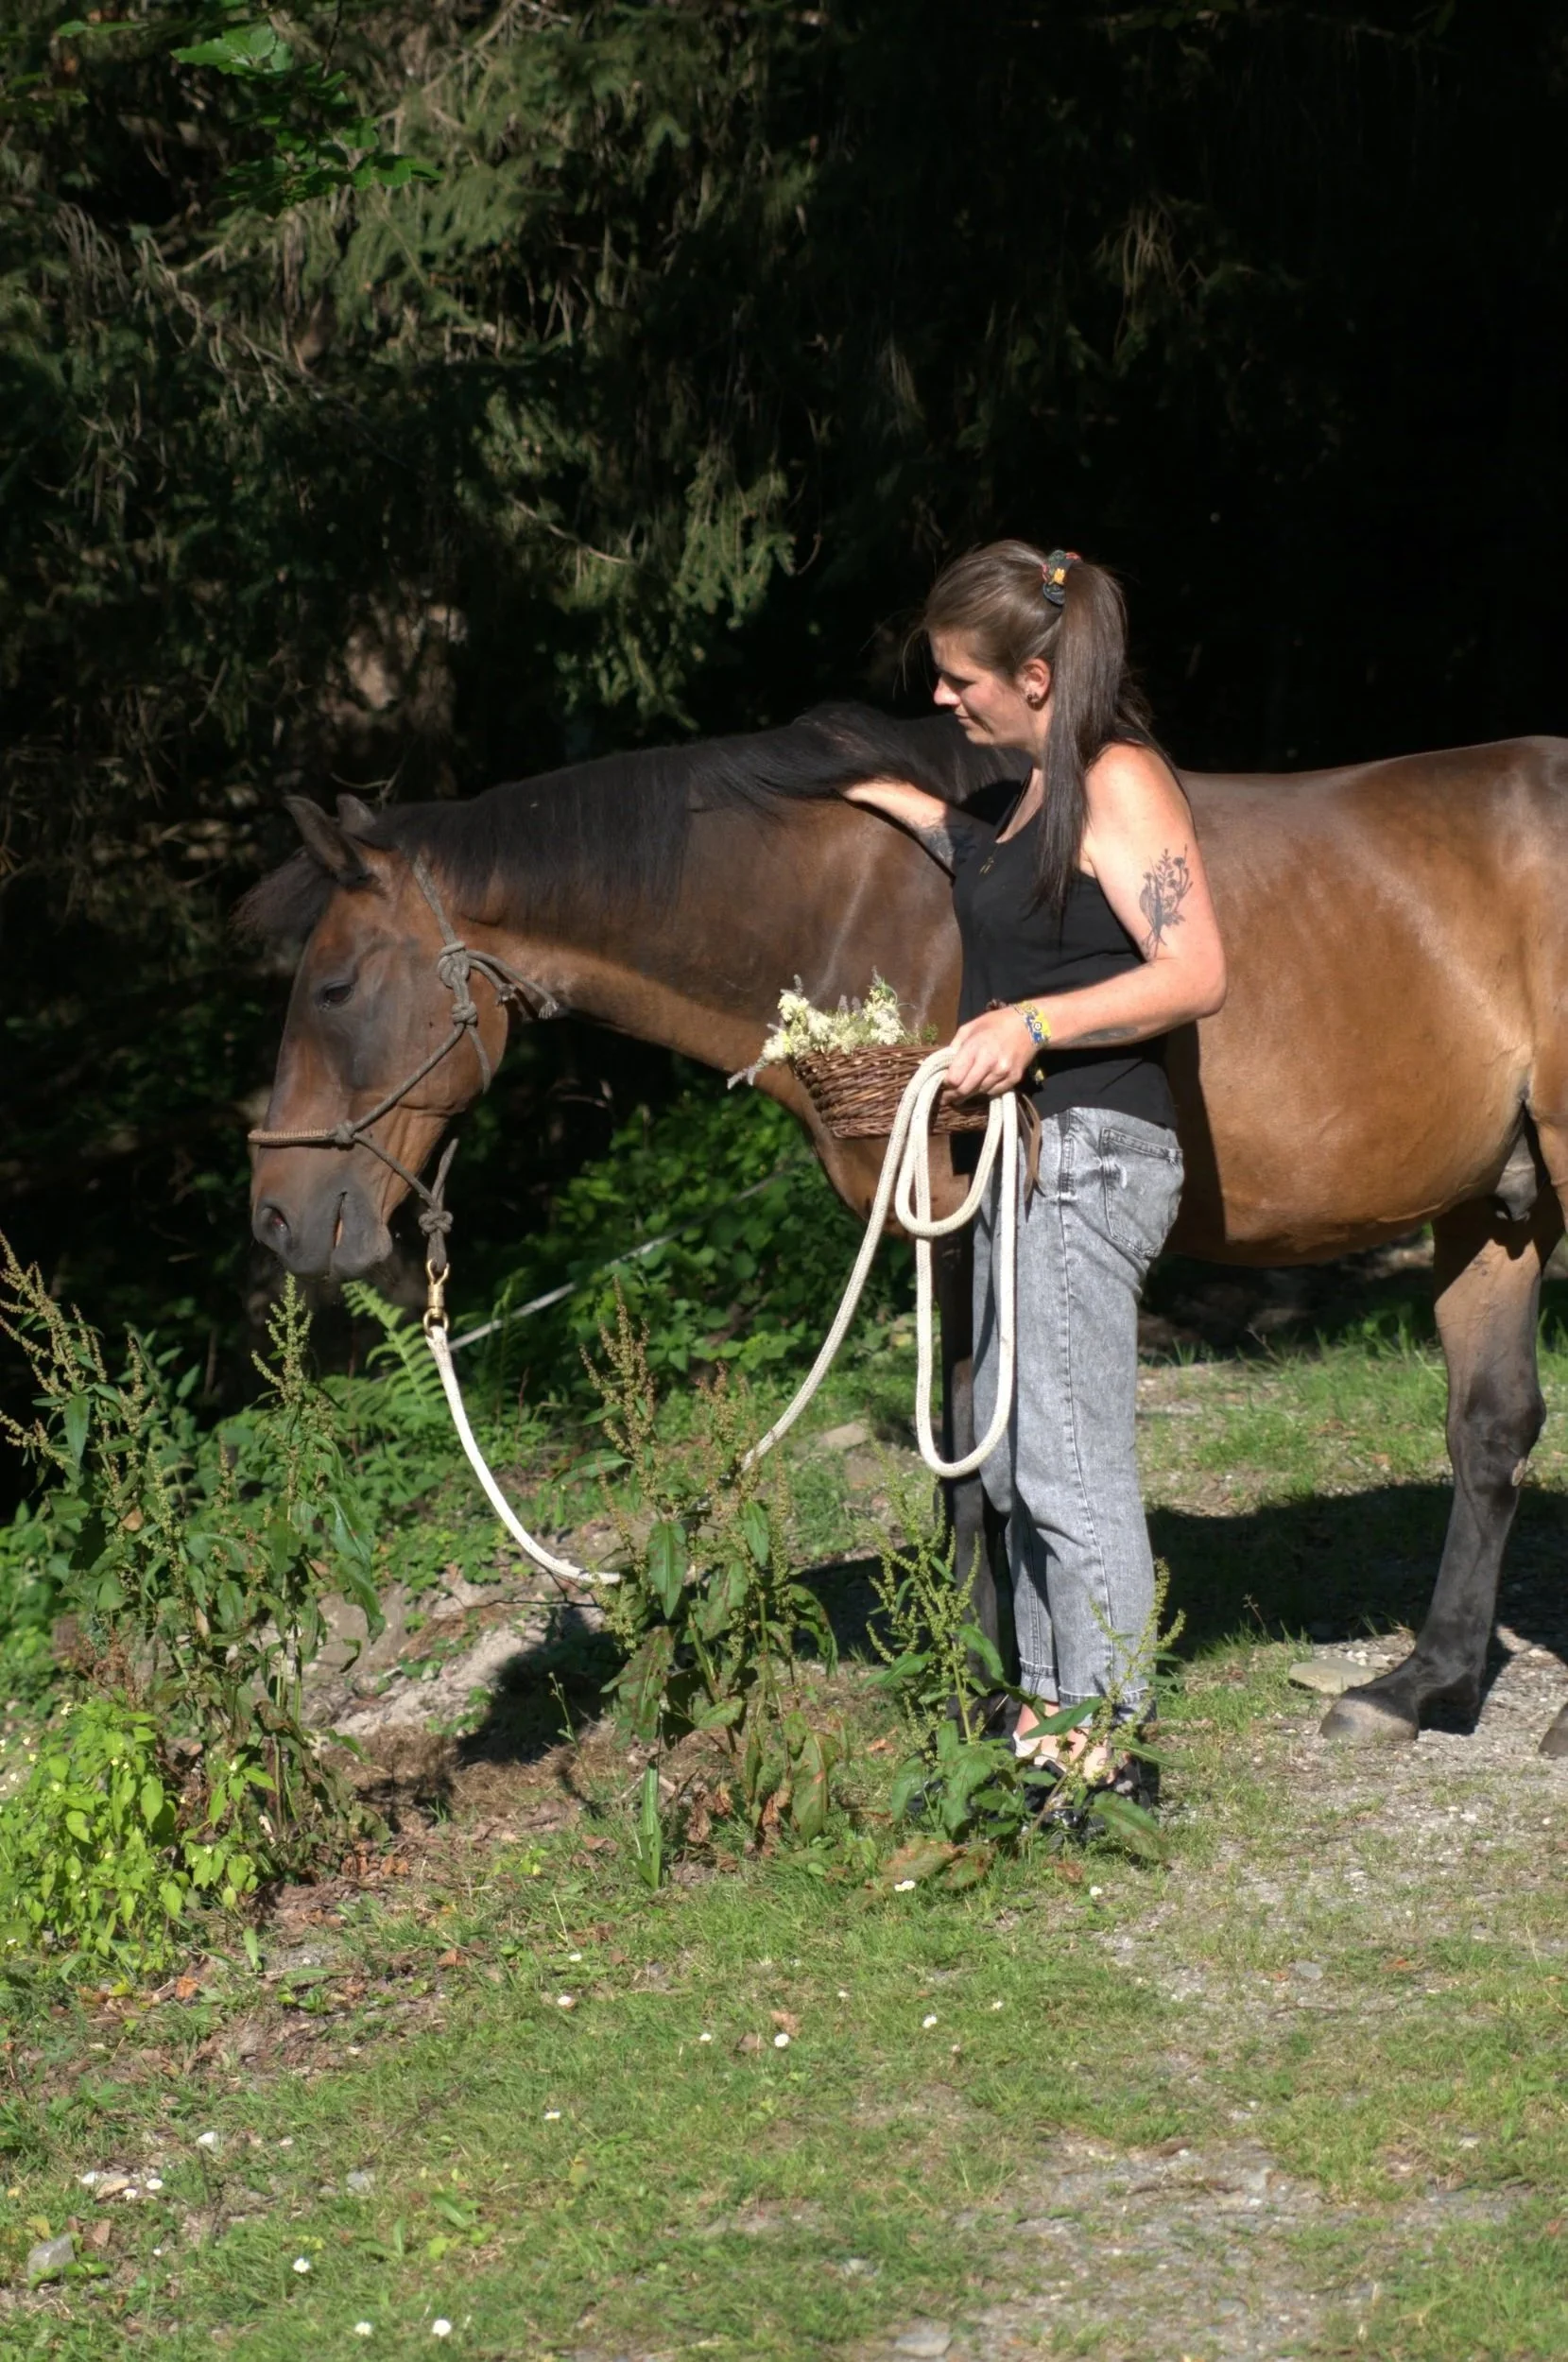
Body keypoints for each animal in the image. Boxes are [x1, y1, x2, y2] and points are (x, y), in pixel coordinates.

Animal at [241, 704, 1568, 1759]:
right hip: (1491, 1212)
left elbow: (977, 1461)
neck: (850, 903)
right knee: (1491, 1430)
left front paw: (976, 1696)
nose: (279, 1217)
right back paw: (1425, 1687)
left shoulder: (959, 1215)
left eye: (336, 988)